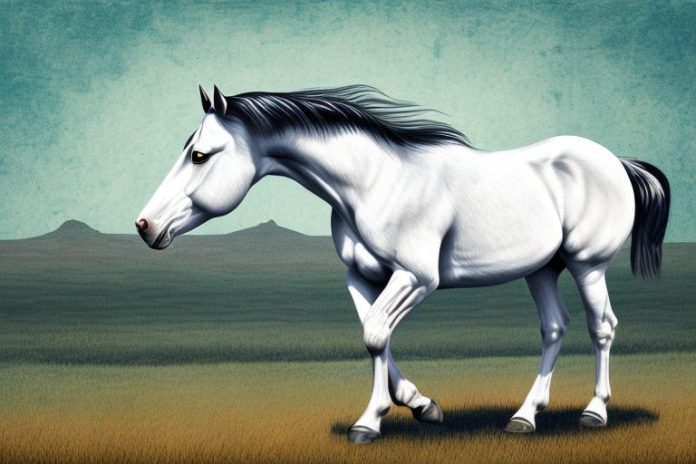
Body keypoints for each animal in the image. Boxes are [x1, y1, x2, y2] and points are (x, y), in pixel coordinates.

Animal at [136, 85, 670, 444]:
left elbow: (375, 334)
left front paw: (368, 423)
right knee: (555, 328)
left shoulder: (416, 278)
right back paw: (524, 417)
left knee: (602, 327)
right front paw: (422, 405)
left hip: (587, 265)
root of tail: (616, 161)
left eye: (199, 155)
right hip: (541, 269)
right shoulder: (362, 277)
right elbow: (376, 336)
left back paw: (594, 413)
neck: (374, 182)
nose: (144, 225)